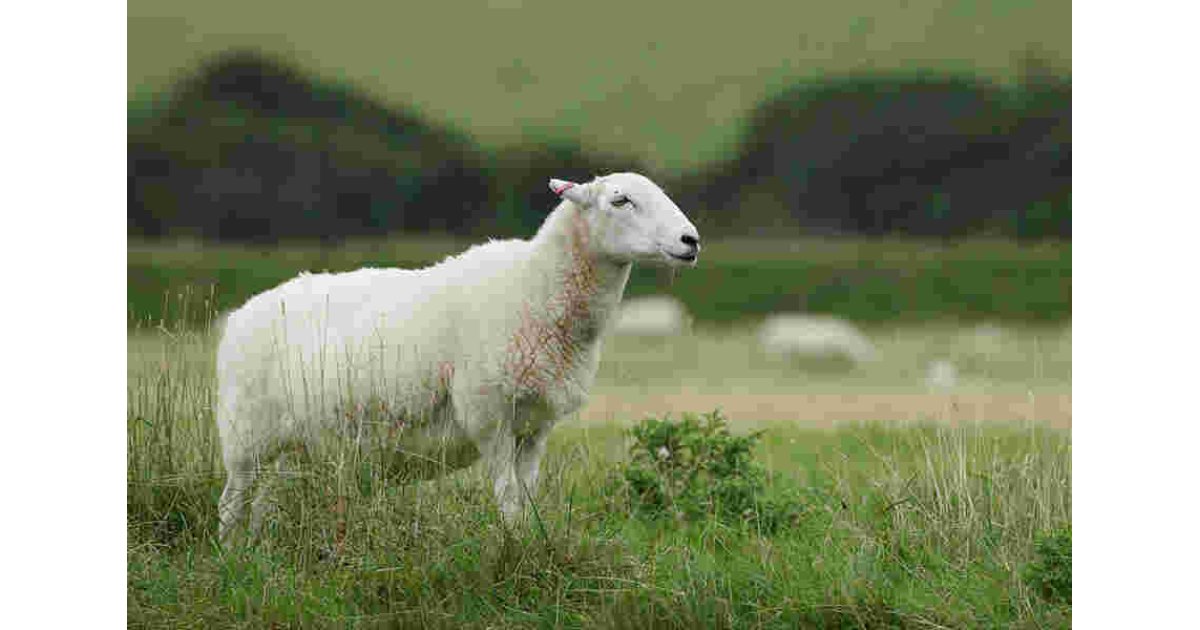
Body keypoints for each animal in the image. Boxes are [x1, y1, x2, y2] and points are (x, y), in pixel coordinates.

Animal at [215, 172, 701, 541]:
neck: (535, 288)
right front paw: (512, 551)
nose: (691, 240)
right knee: (231, 502)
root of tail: (239, 314)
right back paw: (230, 555)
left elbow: (528, 497)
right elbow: (508, 498)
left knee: (264, 503)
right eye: (620, 199)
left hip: (291, 447)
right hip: (245, 436)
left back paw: (259, 551)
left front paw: (531, 543)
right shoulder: (490, 415)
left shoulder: (536, 425)